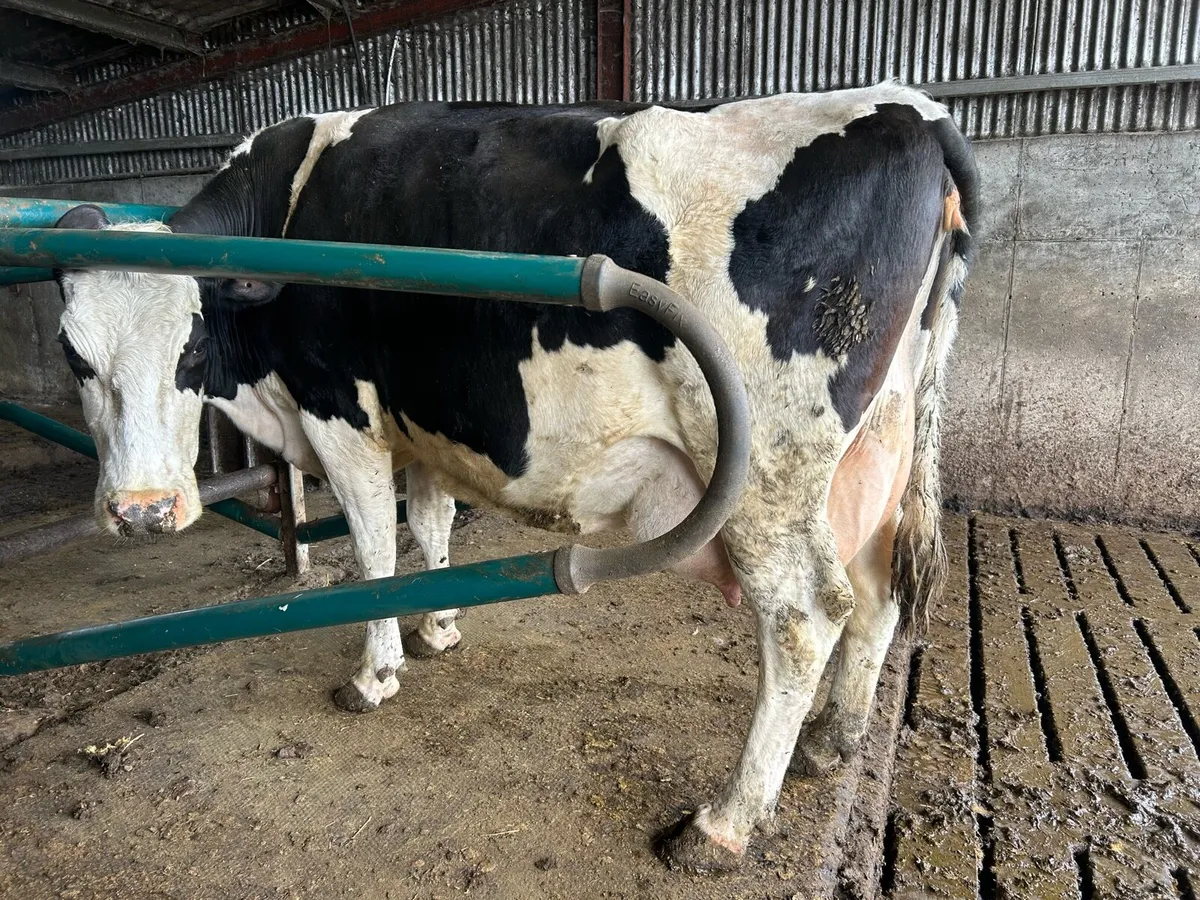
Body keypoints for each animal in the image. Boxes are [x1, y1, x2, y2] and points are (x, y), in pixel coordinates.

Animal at [49, 82, 979, 872]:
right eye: (74, 355)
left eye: (190, 346)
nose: (141, 512)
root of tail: (914, 109)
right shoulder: (426, 428)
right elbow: (427, 526)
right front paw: (438, 628)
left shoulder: (342, 416)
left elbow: (373, 551)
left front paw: (375, 673)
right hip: (878, 451)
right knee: (877, 590)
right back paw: (834, 739)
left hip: (768, 478)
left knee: (803, 614)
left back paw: (724, 823)